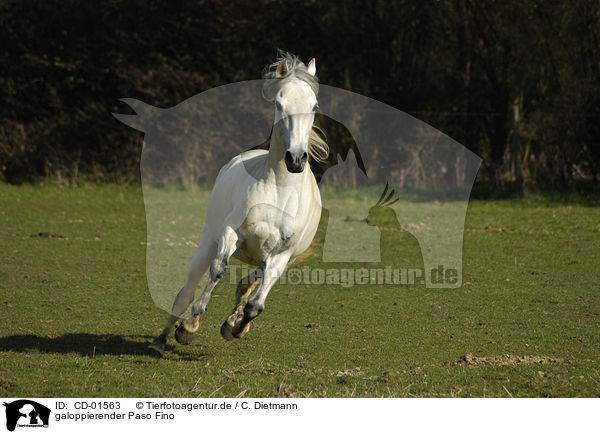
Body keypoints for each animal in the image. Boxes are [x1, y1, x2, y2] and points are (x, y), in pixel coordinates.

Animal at [150, 52, 328, 356]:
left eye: (313, 106)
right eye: (279, 103)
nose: (295, 159)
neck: (279, 190)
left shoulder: (282, 255)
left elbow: (256, 305)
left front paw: (235, 327)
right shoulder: (231, 234)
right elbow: (218, 271)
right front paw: (189, 328)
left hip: (274, 258)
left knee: (249, 284)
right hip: (208, 241)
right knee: (185, 293)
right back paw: (161, 340)